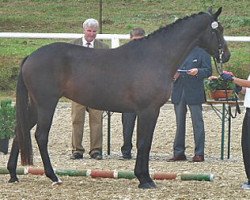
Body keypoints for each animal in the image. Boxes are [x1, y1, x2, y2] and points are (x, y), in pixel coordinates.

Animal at [7, 8, 230, 189]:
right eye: (218, 30)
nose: (226, 55)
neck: (155, 57)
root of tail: (31, 56)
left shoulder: (151, 111)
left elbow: (145, 142)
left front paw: (144, 177)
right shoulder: (147, 110)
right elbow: (143, 143)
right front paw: (144, 179)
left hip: (36, 106)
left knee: (21, 130)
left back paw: (12, 175)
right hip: (46, 104)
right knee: (40, 136)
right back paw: (53, 176)